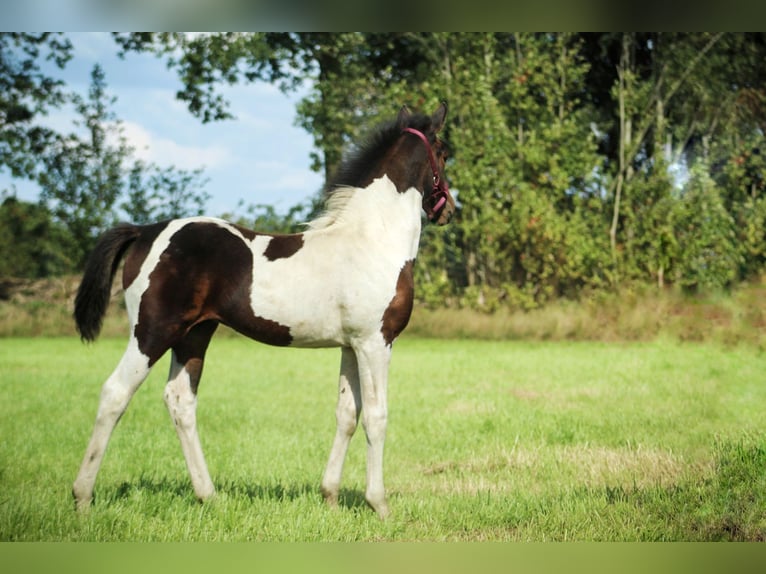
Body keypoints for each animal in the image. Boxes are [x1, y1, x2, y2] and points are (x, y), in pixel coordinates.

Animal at [70, 101, 456, 520]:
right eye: (444, 153)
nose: (448, 211)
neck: (372, 238)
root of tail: (144, 231)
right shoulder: (375, 342)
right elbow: (376, 416)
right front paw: (379, 504)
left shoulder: (350, 345)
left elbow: (346, 414)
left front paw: (330, 496)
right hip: (152, 333)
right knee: (115, 393)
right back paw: (82, 497)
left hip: (194, 335)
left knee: (180, 401)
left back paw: (209, 495)